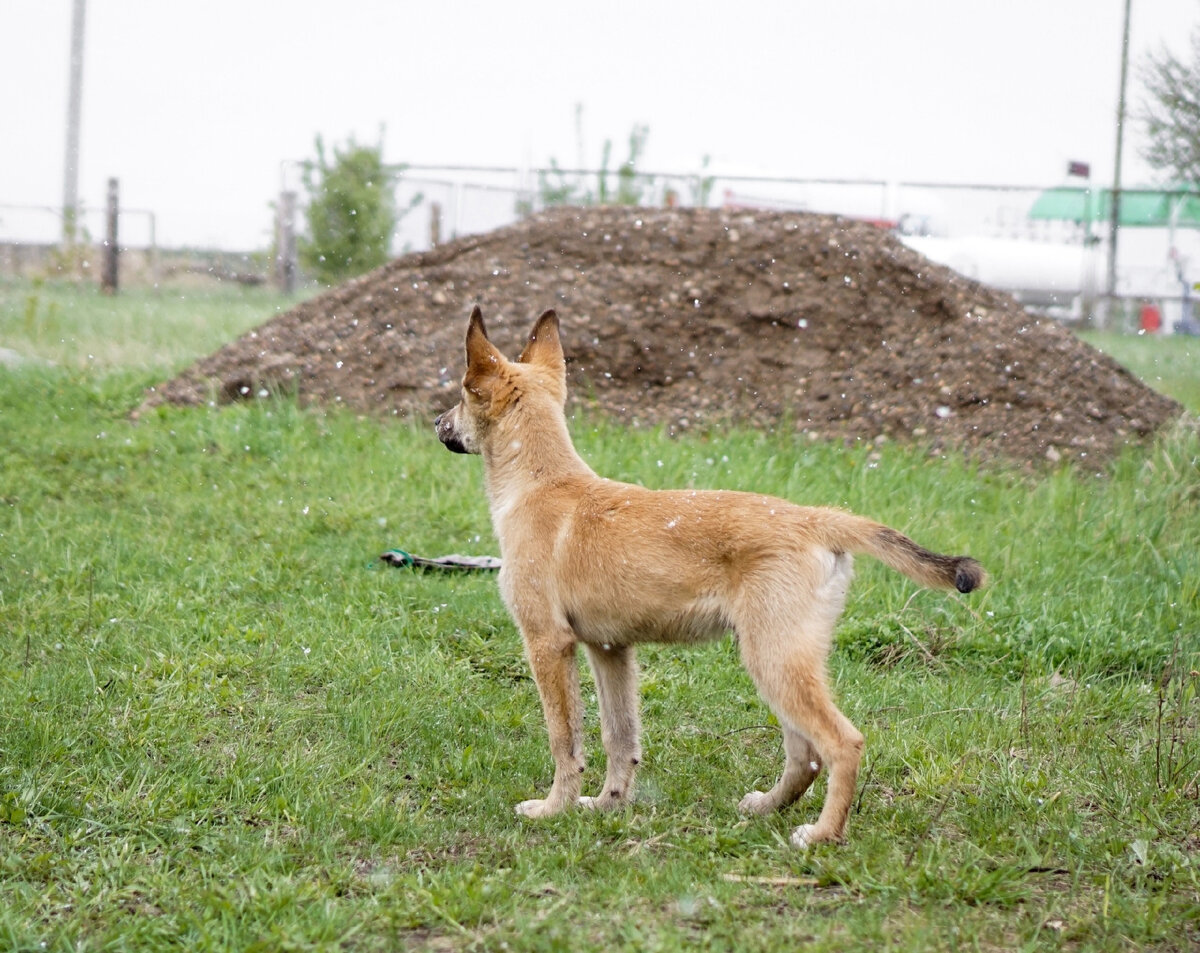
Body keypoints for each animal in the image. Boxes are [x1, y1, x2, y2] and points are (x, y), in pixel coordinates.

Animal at [434, 306, 984, 844]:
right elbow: (620, 737)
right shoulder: (610, 650)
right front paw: (608, 805)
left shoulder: (547, 644)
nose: (437, 422)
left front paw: (553, 810)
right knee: (804, 755)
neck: (541, 482)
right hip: (785, 658)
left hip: (773, 657)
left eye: (461, 394)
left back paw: (822, 835)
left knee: (842, 743)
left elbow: (564, 739)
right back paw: (766, 808)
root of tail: (816, 519)